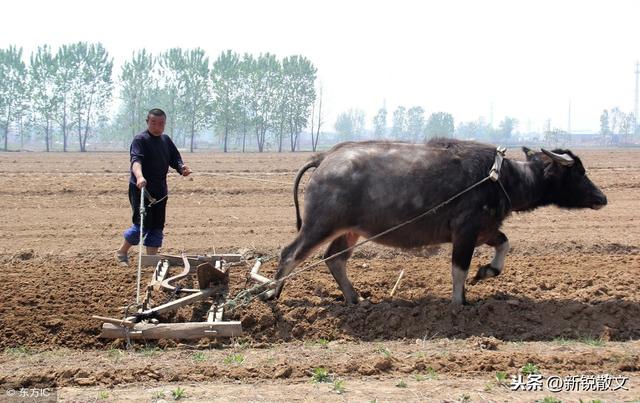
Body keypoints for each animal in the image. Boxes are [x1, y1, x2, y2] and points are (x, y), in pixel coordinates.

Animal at [268, 140, 604, 306]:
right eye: (578, 172)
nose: (602, 198)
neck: (501, 178)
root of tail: (325, 157)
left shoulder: (483, 230)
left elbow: (504, 244)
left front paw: (486, 272)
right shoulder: (465, 232)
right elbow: (459, 269)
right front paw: (458, 302)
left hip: (351, 231)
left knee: (334, 259)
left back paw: (355, 298)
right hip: (320, 224)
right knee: (291, 253)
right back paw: (272, 295)